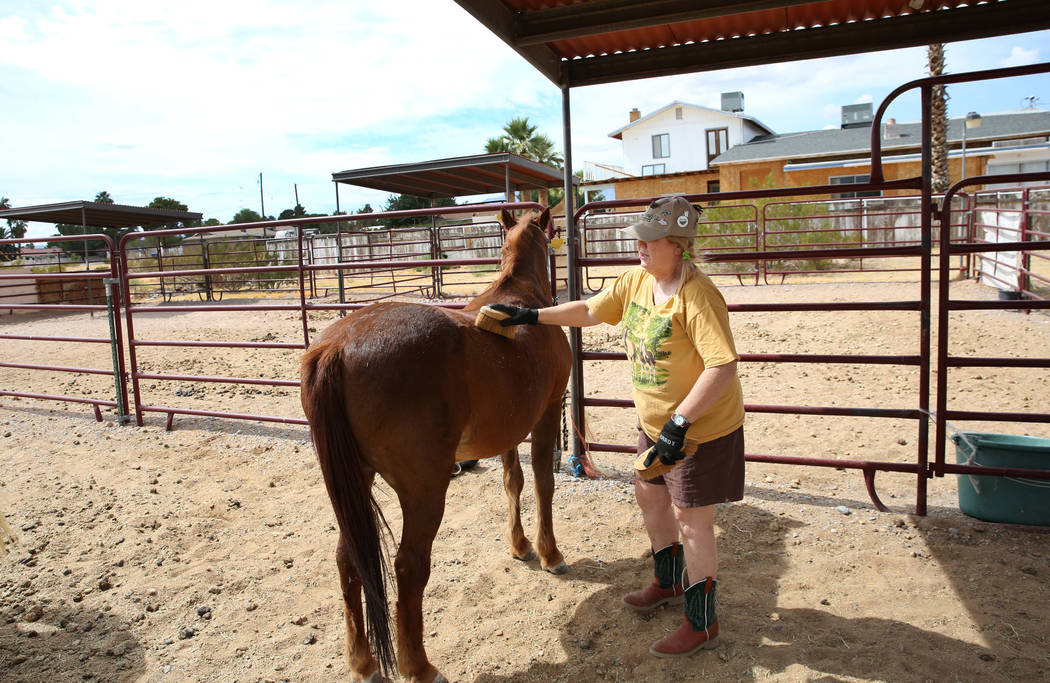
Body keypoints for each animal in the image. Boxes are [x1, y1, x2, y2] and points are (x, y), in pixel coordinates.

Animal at [300, 207, 571, 680]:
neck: (524, 298)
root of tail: (336, 347)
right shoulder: (547, 411)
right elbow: (542, 482)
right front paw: (548, 552)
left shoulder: (506, 429)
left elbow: (512, 483)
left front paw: (520, 546)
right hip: (424, 489)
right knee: (409, 567)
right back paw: (419, 666)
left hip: (356, 481)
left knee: (347, 559)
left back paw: (363, 661)